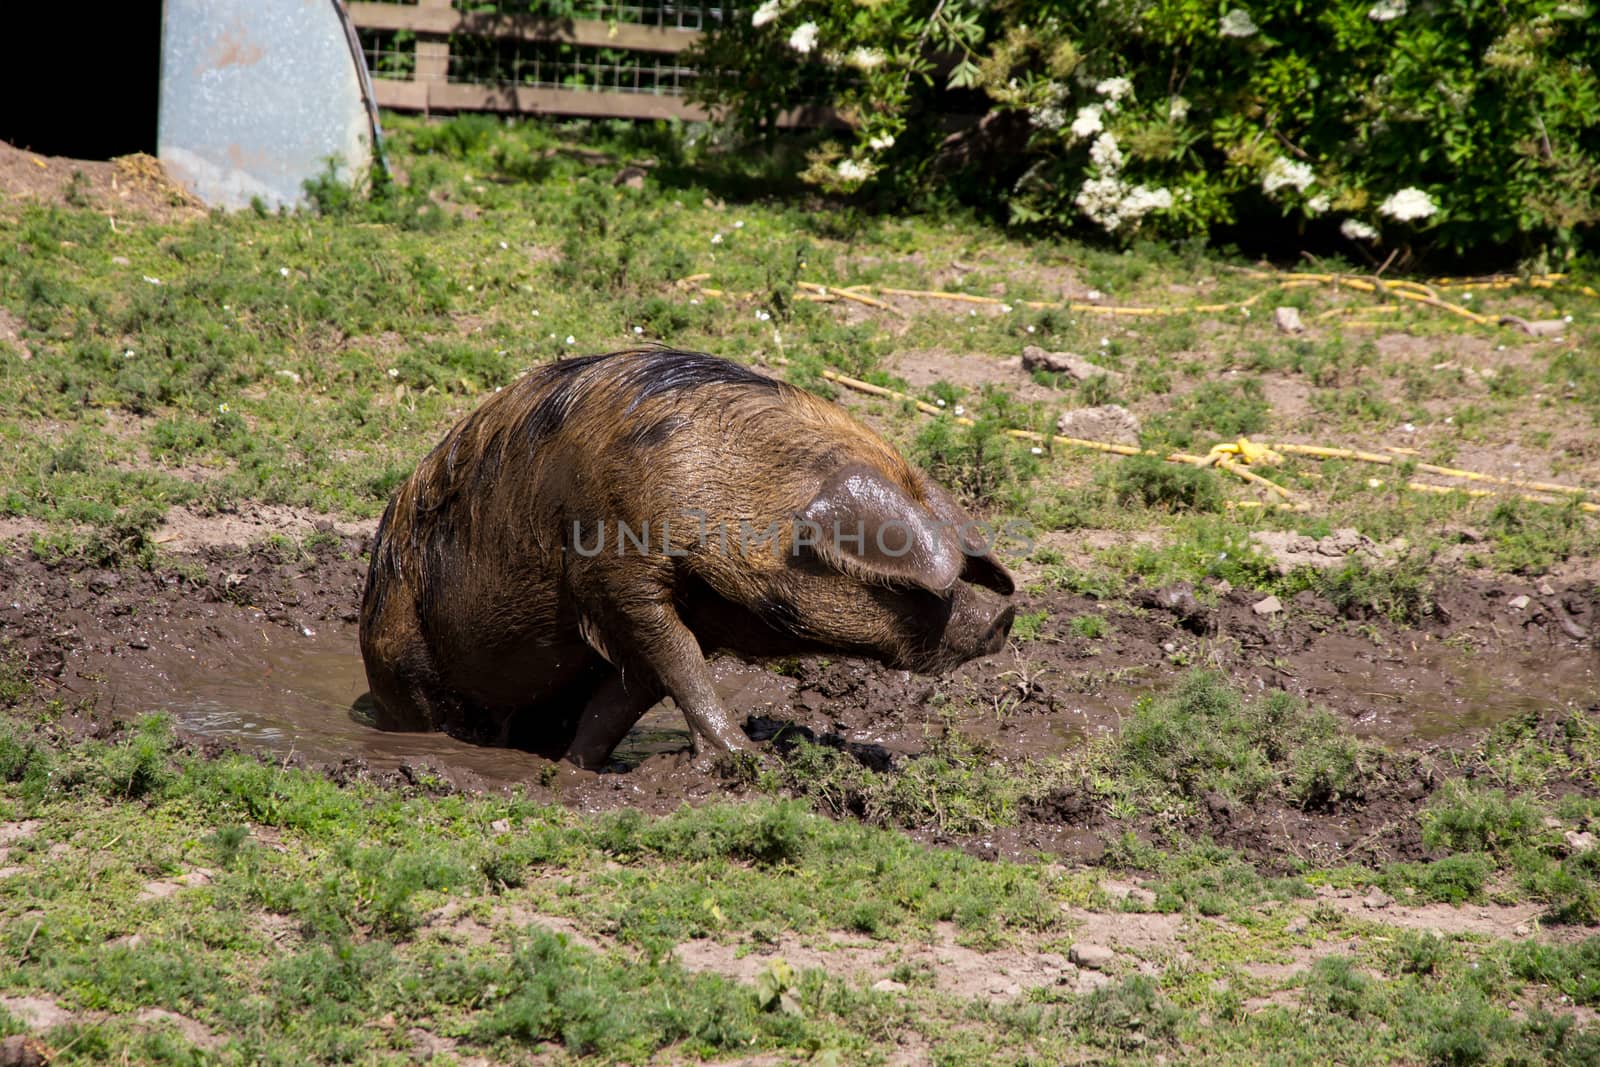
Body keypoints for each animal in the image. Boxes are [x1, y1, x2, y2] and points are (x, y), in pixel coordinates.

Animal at [360, 350, 1011, 767]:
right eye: (899, 585)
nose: (1002, 617)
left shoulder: (697, 610)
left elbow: (637, 688)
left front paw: (578, 770)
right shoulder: (612, 572)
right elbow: (679, 661)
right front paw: (749, 759)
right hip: (403, 658)